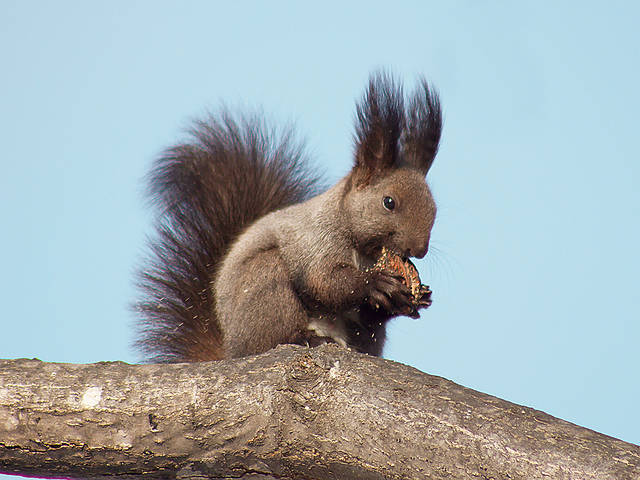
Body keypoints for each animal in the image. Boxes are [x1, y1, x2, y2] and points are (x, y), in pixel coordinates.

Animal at [134, 72, 442, 362]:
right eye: (389, 202)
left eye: (435, 208)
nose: (419, 250)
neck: (365, 250)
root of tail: (231, 348)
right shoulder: (316, 240)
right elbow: (323, 281)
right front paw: (374, 284)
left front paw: (418, 296)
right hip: (264, 287)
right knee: (274, 333)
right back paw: (304, 338)